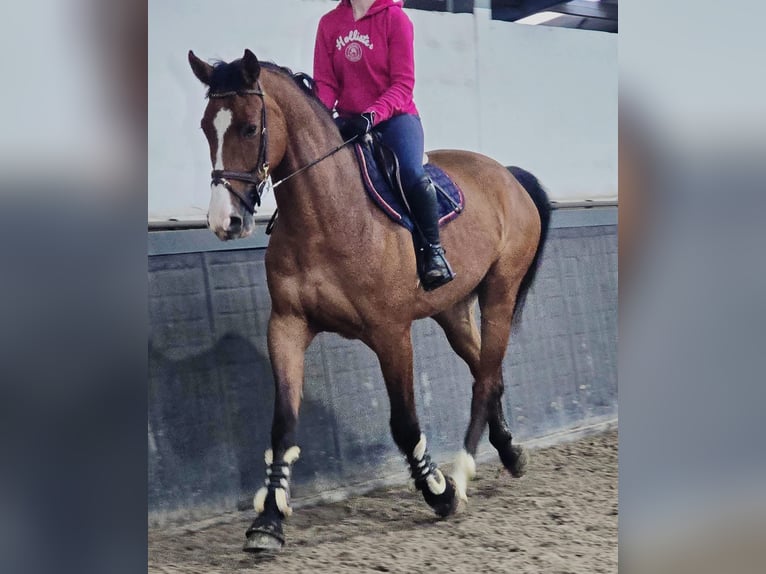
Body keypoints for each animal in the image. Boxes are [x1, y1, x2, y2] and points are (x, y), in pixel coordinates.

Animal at [188, 49, 551, 552]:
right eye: (207, 127)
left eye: (248, 127)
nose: (226, 221)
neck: (328, 216)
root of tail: (508, 176)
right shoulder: (287, 325)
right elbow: (283, 423)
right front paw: (268, 521)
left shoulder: (391, 333)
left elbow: (404, 422)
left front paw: (438, 492)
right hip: (453, 311)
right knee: (487, 371)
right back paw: (511, 453)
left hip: (500, 293)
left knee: (484, 380)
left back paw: (461, 473)